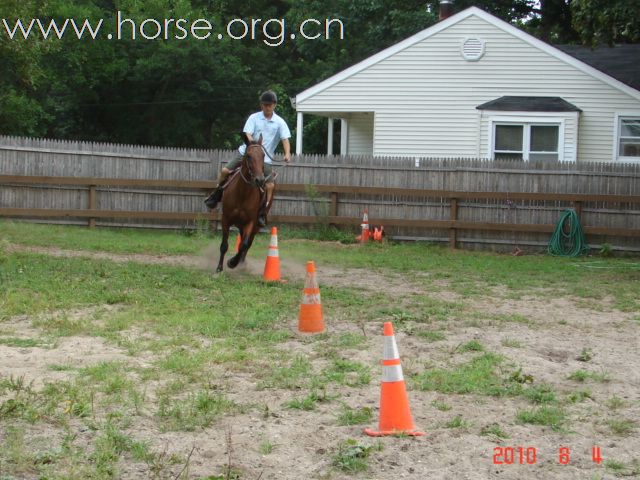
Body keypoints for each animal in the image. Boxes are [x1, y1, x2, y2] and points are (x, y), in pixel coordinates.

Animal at [215, 133, 264, 272]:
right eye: (248, 156)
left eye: (263, 155)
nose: (260, 180)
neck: (242, 193)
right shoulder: (225, 219)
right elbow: (224, 245)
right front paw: (219, 268)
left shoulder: (250, 222)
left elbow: (243, 245)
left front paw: (232, 262)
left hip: (254, 227)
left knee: (247, 244)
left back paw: (241, 263)